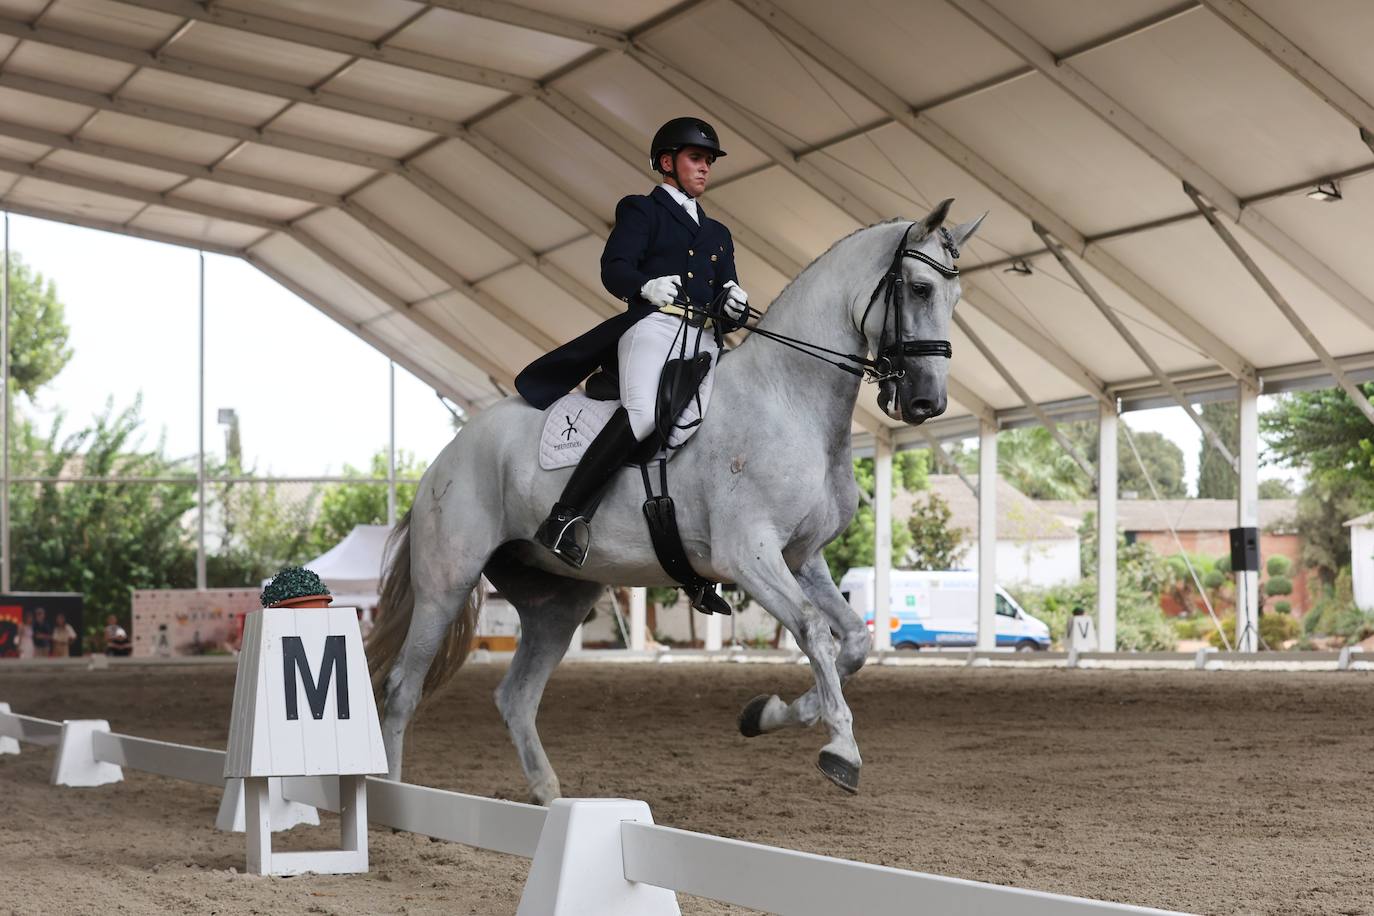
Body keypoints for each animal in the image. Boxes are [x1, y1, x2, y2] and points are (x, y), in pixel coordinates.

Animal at [368, 199, 989, 802]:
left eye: (957, 297)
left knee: (515, 696)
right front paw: (841, 749)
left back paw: (548, 796)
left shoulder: (802, 558)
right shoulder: (749, 555)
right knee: (402, 688)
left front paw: (766, 714)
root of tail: (446, 455)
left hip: (558, 604)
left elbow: (855, 640)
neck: (788, 398)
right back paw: (394, 799)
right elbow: (814, 630)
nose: (928, 402)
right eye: (920, 289)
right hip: (447, 583)